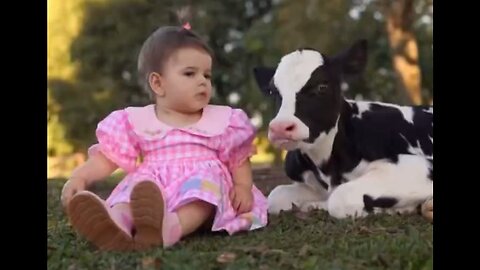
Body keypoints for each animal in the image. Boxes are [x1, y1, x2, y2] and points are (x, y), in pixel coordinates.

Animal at [253, 39, 434, 219]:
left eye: (322, 86)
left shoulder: (418, 165)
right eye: (272, 91)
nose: (280, 127)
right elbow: (276, 196)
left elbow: (340, 199)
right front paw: (314, 205)